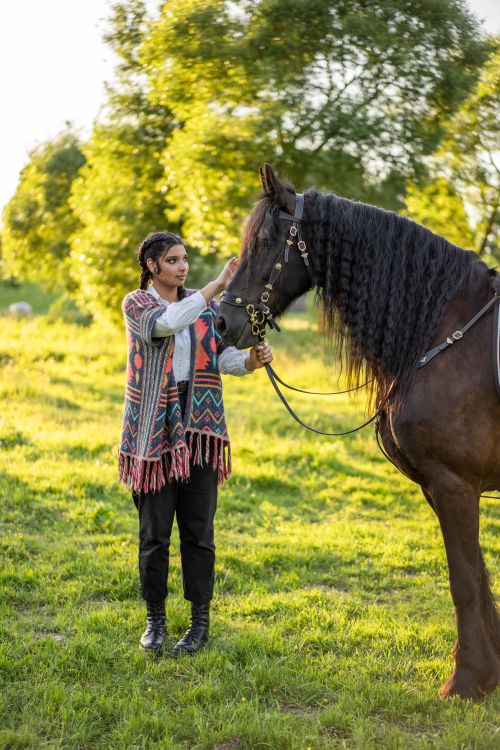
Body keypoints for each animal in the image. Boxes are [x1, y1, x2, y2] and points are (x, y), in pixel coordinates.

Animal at [216, 164, 500, 700]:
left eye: (264, 241)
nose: (222, 323)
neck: (445, 332)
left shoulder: (454, 485)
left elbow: (464, 578)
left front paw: (466, 681)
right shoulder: (446, 488)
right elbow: (479, 574)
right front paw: (487, 673)